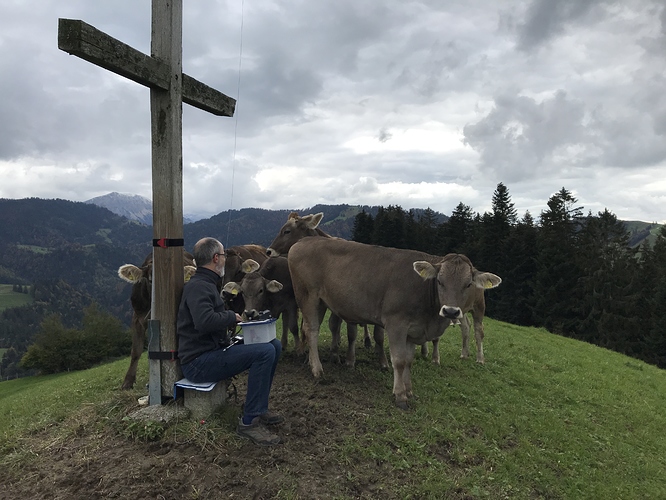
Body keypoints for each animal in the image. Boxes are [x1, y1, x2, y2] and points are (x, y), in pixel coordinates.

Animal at [286, 239, 498, 410]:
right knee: (311, 330)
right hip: (308, 296)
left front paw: (409, 390)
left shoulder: (413, 330)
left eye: (468, 284)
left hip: (322, 301)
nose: (451, 311)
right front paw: (400, 395)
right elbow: (399, 360)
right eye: (439, 281)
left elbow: (409, 361)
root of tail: (302, 241)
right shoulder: (396, 324)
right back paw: (317, 369)